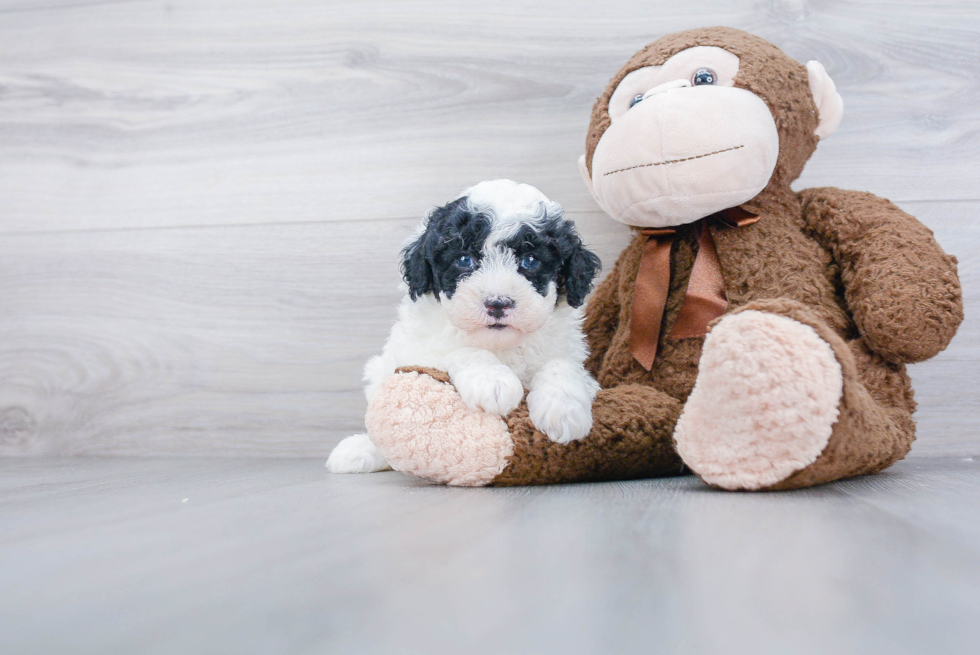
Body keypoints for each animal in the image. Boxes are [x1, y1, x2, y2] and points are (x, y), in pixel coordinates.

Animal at [330, 179, 600, 474]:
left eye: (530, 261)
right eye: (464, 260)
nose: (497, 303)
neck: (499, 345)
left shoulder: (568, 351)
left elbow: (560, 364)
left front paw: (563, 409)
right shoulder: (420, 350)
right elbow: (461, 351)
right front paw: (493, 381)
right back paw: (358, 451)